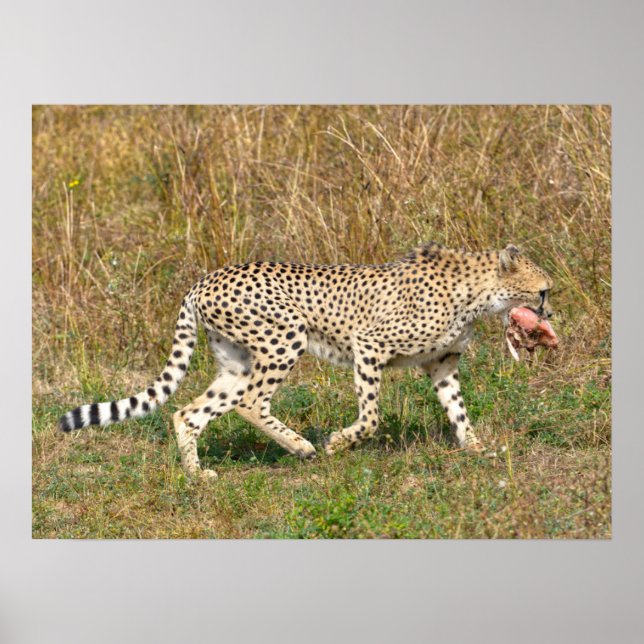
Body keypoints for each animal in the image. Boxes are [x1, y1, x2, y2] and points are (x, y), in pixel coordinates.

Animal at [58, 242, 554, 480]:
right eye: (543, 291)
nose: (549, 311)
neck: (477, 293)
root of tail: (204, 279)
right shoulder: (368, 344)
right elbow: (371, 417)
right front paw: (338, 442)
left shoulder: (442, 364)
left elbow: (458, 410)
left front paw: (476, 448)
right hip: (285, 339)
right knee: (251, 403)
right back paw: (301, 447)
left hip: (237, 363)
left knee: (188, 413)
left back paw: (197, 476)